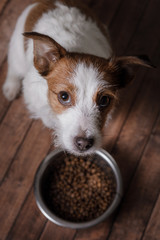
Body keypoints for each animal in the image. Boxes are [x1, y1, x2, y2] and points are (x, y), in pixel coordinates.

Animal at [2, 0, 152, 155]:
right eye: (63, 96)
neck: (79, 48)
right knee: (13, 67)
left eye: (104, 100)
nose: (84, 143)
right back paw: (10, 87)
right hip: (17, 52)